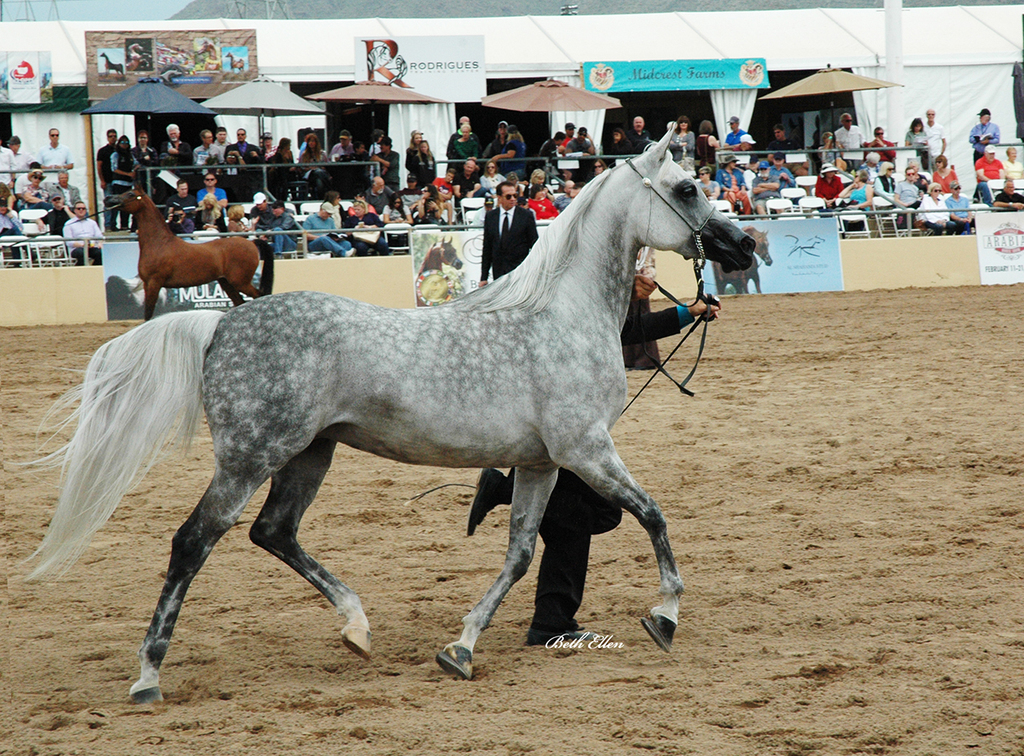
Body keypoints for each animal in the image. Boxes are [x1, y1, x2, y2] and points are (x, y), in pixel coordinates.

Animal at [107, 187, 274, 321]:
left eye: (130, 194)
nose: (109, 199)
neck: (159, 243)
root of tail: (251, 243)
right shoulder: (148, 285)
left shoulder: (154, 283)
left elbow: (148, 315)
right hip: (226, 282)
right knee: (240, 303)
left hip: (240, 282)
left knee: (258, 297)